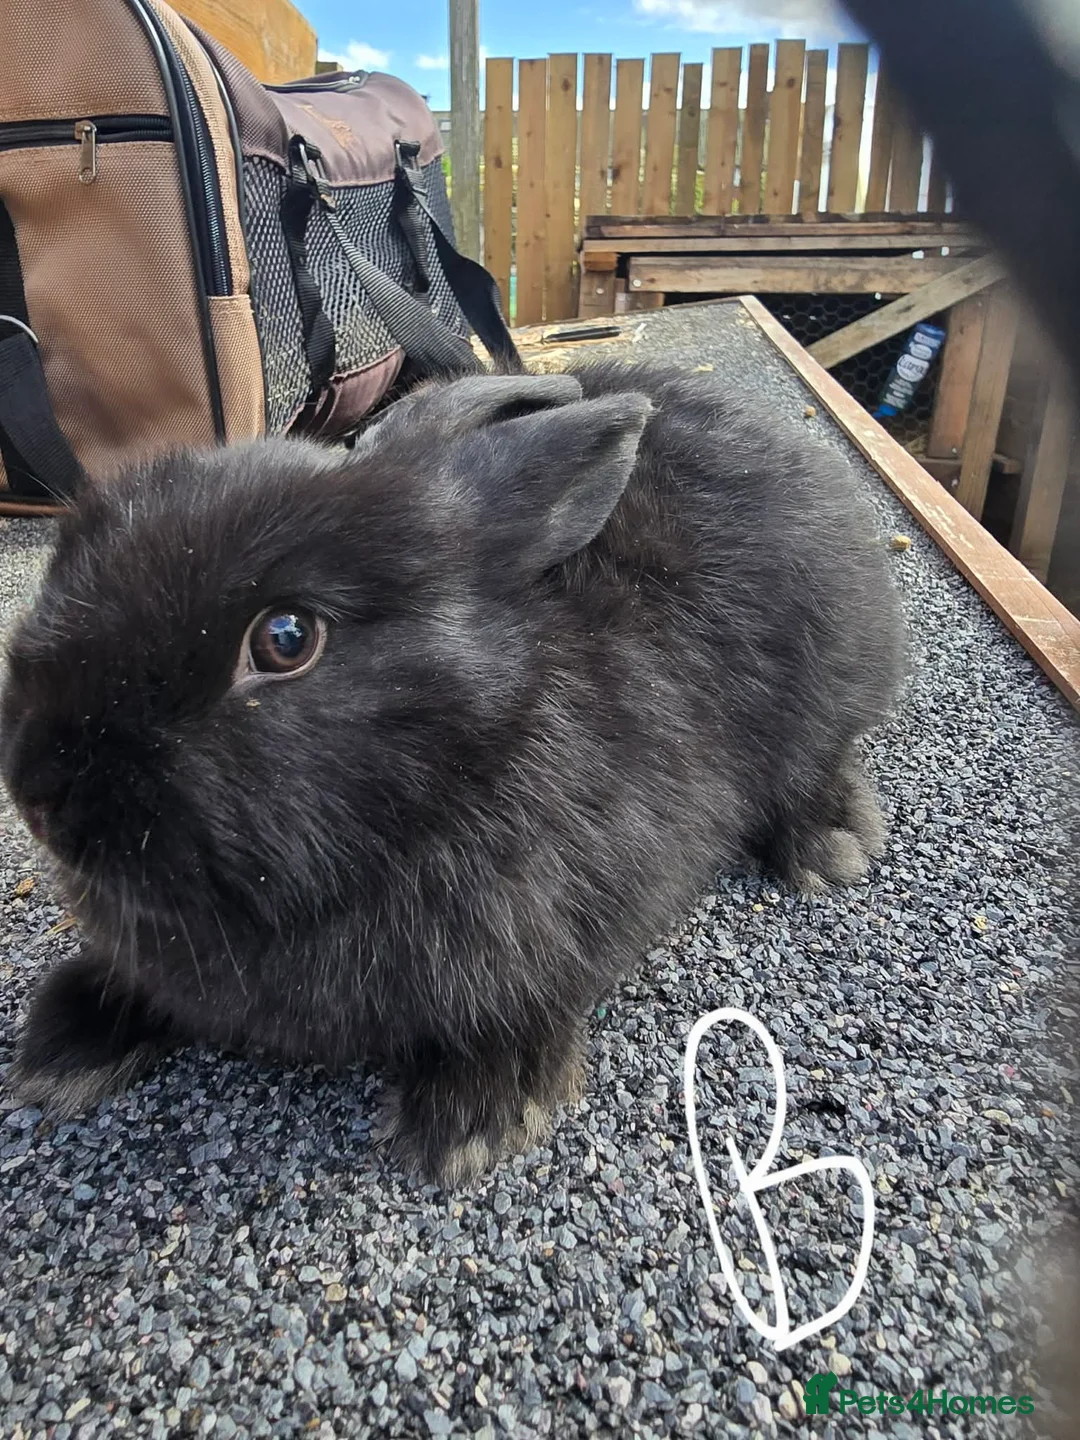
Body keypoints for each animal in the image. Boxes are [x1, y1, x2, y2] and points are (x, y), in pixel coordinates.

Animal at [0, 360, 905, 1185]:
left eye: (286, 639)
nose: (39, 796)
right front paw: (62, 1047)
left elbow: (524, 1004)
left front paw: (477, 1117)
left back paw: (831, 845)